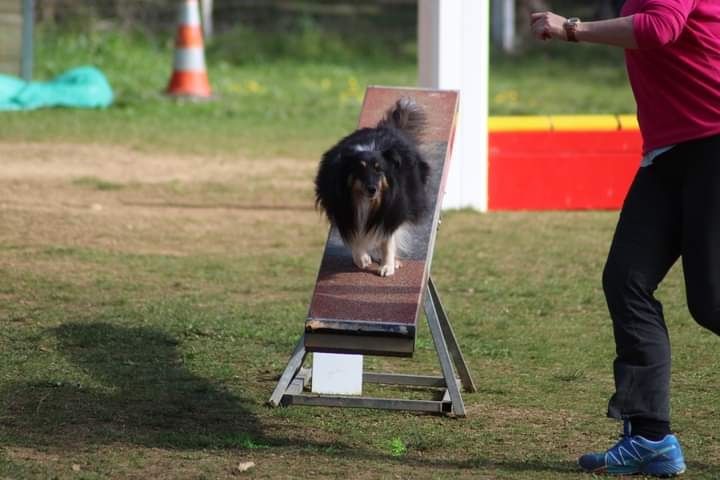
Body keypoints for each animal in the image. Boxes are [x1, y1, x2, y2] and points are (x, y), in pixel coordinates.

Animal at [314, 97, 430, 276]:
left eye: (378, 169)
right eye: (360, 168)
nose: (372, 189)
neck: (366, 201)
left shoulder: (392, 208)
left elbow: (388, 240)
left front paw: (387, 266)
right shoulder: (342, 209)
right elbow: (354, 235)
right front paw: (361, 258)